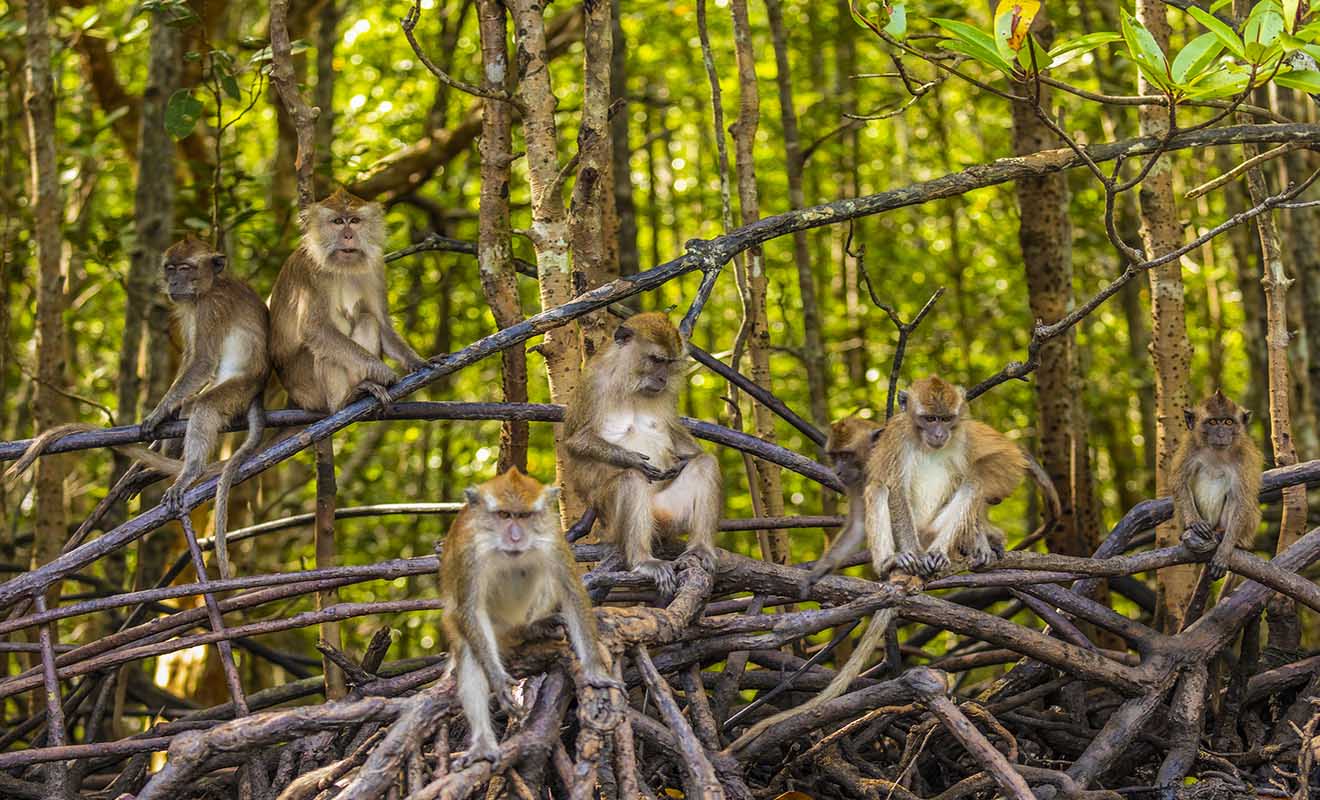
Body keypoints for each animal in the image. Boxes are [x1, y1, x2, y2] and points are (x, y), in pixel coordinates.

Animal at [4, 234, 267, 580]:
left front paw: (157, 413)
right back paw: (160, 465)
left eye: (186, 268)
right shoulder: (190, 309)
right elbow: (191, 361)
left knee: (204, 408)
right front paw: (163, 415)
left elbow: (202, 361)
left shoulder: (211, 309)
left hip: (237, 391)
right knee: (188, 409)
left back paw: (190, 470)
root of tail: (259, 389)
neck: (207, 289)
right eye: (170, 268)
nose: (174, 282)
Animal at [266, 187, 427, 414]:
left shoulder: (375, 266)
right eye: (338, 222)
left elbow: (382, 322)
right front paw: (383, 371)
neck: (342, 267)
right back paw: (342, 402)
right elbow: (315, 329)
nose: (349, 235)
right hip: (308, 390)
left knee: (367, 319)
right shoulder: (311, 271)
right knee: (325, 345)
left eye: (355, 220)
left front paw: (416, 361)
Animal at [435, 469, 615, 770]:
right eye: (505, 515)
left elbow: (572, 592)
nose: (516, 537)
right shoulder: (469, 553)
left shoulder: (553, 540)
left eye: (525, 516)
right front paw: (498, 681)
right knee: (471, 652)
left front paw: (595, 670)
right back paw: (483, 744)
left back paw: (533, 628)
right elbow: (470, 610)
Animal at [559, 310, 723, 599]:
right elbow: (575, 442)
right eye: (656, 360)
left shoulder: (668, 396)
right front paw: (630, 458)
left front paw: (683, 460)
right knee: (631, 480)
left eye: (669, 363)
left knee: (705, 464)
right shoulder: (592, 385)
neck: (630, 382)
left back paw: (700, 547)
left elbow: (681, 439)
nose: (662, 379)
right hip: (611, 520)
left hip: (669, 514)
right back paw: (643, 560)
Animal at [1177, 396, 1256, 583]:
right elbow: (1180, 483)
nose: (1221, 434)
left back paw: (1226, 537)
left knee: (1235, 497)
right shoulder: (1189, 447)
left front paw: (1224, 553)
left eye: (1228, 422)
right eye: (1212, 422)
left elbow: (1243, 499)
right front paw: (1195, 523)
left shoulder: (1244, 457)